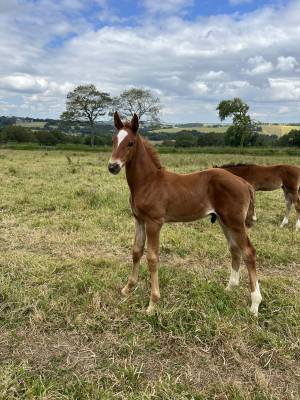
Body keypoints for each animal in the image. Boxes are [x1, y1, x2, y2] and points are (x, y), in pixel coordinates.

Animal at [109, 112, 262, 316]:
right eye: (113, 140)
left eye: (131, 143)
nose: (113, 166)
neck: (148, 182)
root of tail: (244, 183)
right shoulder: (139, 220)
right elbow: (136, 251)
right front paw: (128, 288)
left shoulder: (154, 222)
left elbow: (152, 258)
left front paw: (152, 303)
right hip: (225, 221)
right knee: (235, 248)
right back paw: (230, 287)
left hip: (235, 222)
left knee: (249, 252)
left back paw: (254, 304)